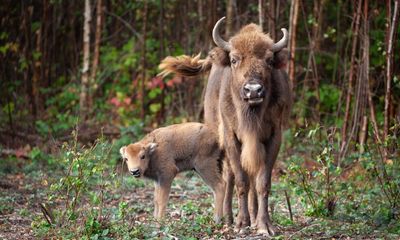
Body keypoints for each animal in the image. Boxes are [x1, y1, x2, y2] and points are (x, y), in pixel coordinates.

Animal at [158, 17, 292, 235]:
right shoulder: (231, 138)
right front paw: (241, 223)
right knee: (229, 177)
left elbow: (262, 182)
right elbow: (241, 180)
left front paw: (264, 225)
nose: (253, 90)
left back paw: (253, 217)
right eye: (234, 60)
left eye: (269, 61)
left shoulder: (273, 137)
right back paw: (228, 218)